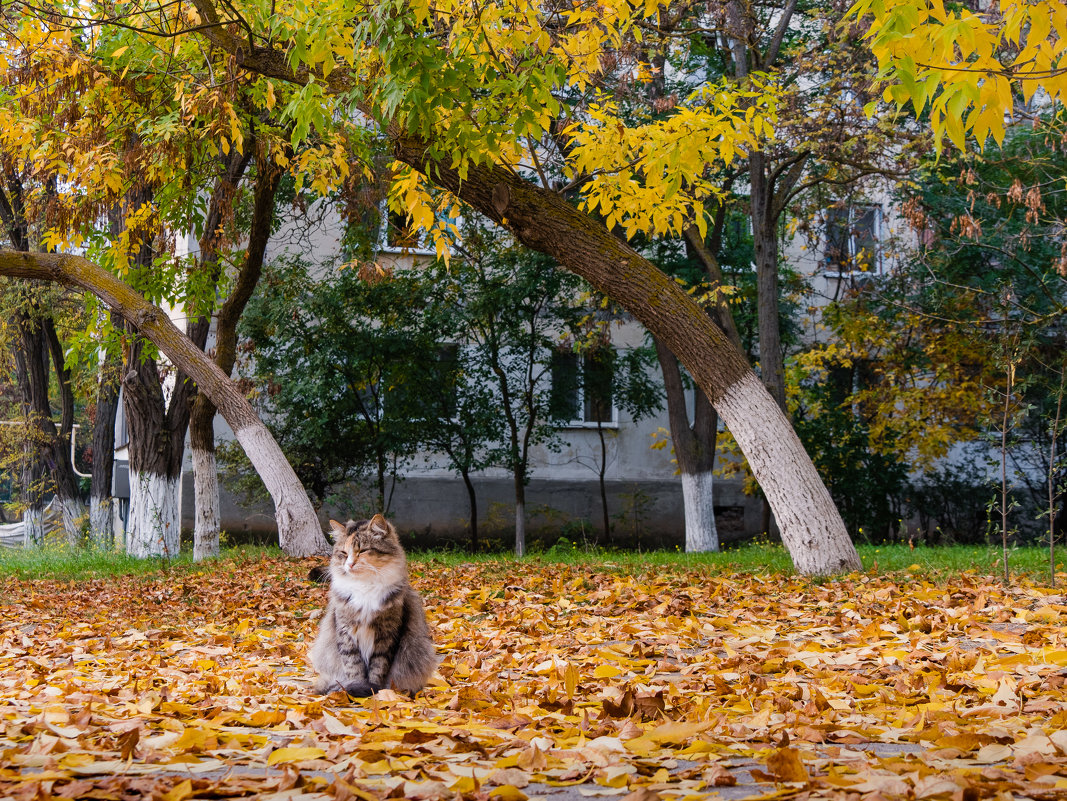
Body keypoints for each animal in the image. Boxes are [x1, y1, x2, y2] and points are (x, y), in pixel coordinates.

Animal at [309, 514, 437, 695]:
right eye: (344, 553)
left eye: (362, 551)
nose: (349, 564)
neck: (365, 587)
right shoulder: (346, 632)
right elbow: (353, 666)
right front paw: (357, 689)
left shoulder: (386, 634)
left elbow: (378, 667)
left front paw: (374, 691)